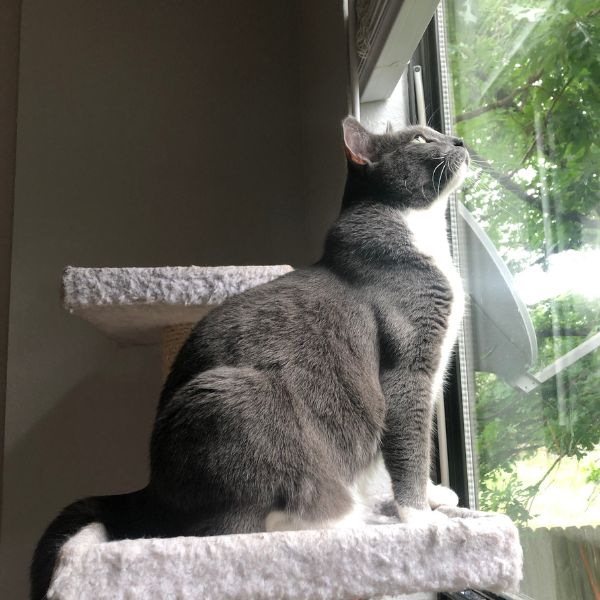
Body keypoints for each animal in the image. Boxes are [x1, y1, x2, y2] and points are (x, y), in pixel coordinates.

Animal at [29, 118, 468, 600]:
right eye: (421, 138)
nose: (460, 140)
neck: (421, 231)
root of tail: (153, 489)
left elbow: (414, 446)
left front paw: (435, 497)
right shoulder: (409, 368)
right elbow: (410, 444)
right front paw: (421, 521)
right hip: (234, 399)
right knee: (239, 525)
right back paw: (349, 520)